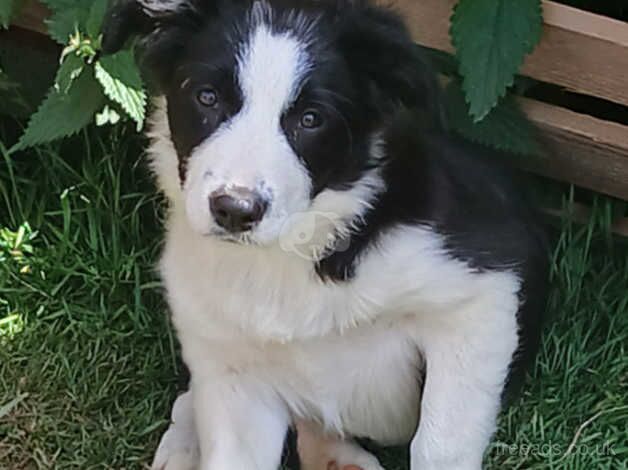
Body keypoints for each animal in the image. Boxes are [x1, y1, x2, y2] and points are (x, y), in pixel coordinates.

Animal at [102, 0, 544, 470]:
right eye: (207, 97)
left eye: (311, 119)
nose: (235, 211)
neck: (290, 254)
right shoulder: (239, 380)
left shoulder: (482, 298)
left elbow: (439, 445)